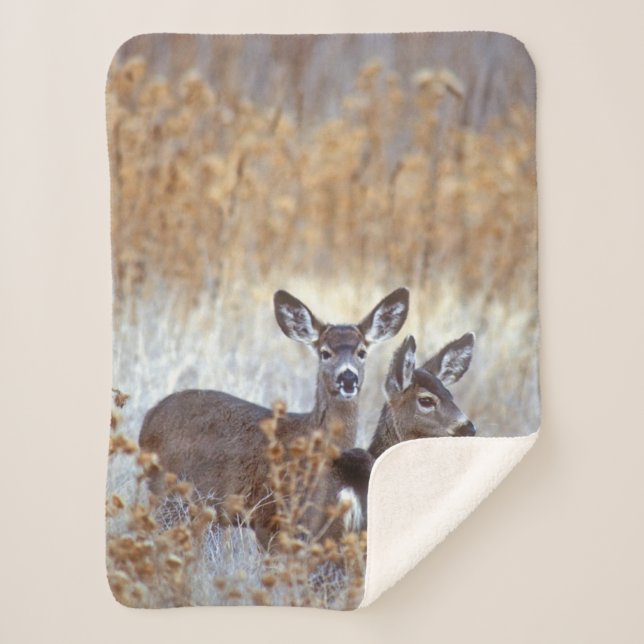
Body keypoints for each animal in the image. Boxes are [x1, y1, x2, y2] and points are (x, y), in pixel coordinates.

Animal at [138, 287, 409, 548]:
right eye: (325, 352)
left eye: (362, 352)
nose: (348, 378)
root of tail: (149, 418)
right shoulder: (269, 515)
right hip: (168, 493)